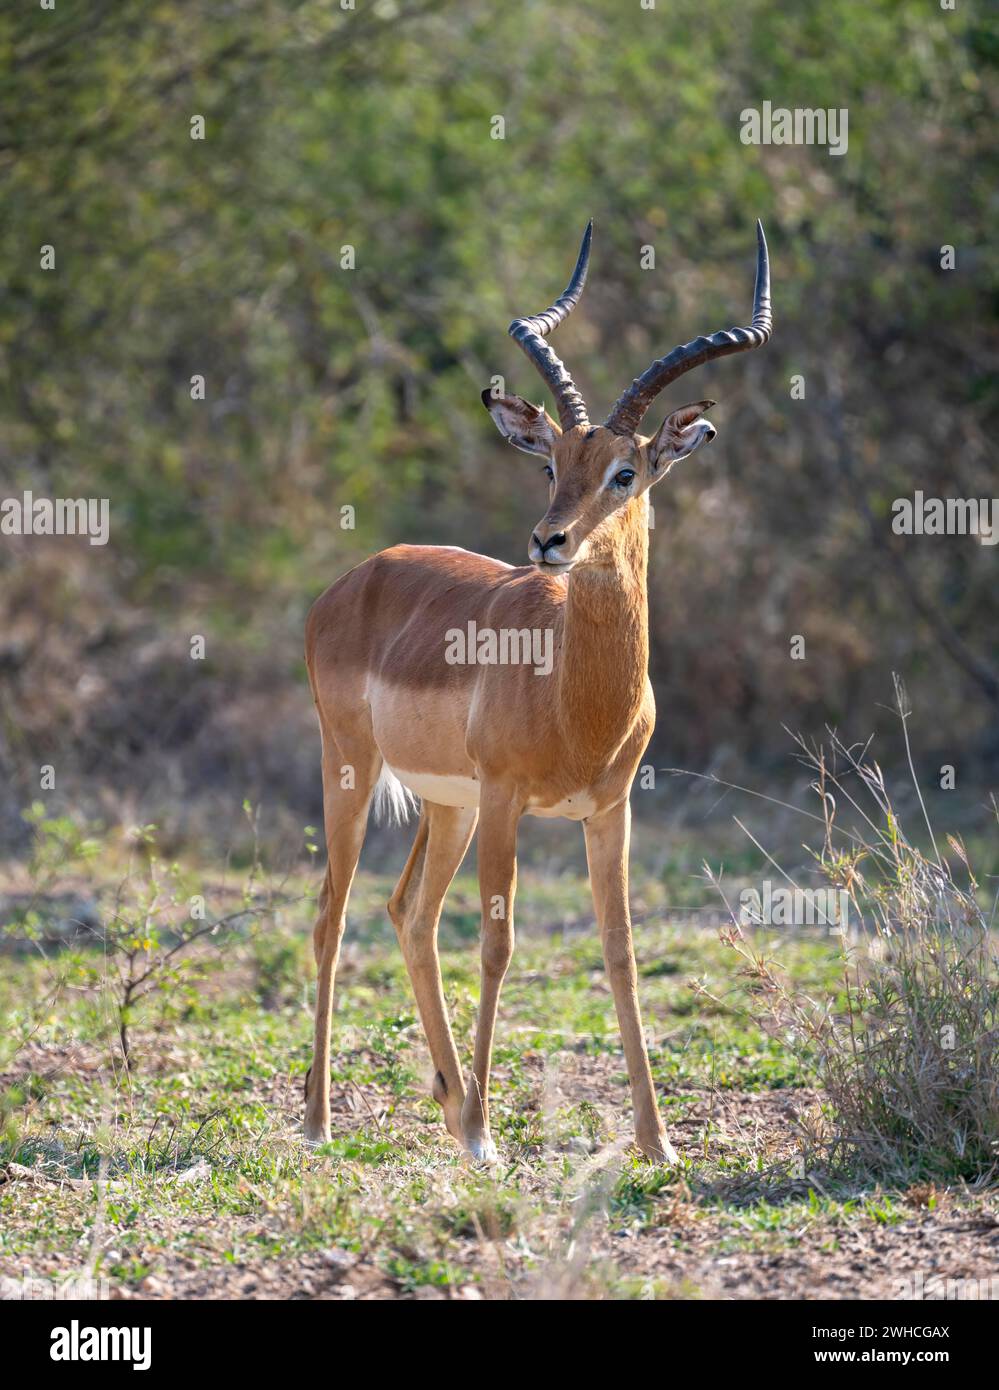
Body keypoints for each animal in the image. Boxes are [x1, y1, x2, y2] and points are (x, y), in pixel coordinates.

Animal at [304, 221, 772, 1162]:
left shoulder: (609, 809)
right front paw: (488, 1137)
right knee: (332, 914)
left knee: (408, 913)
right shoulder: (507, 799)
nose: (547, 541)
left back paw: (448, 1100)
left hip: (445, 806)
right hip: (356, 771)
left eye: (626, 471)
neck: (576, 697)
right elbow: (498, 944)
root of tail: (355, 577)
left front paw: (657, 1143)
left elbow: (620, 951)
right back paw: (323, 1121)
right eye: (551, 461)